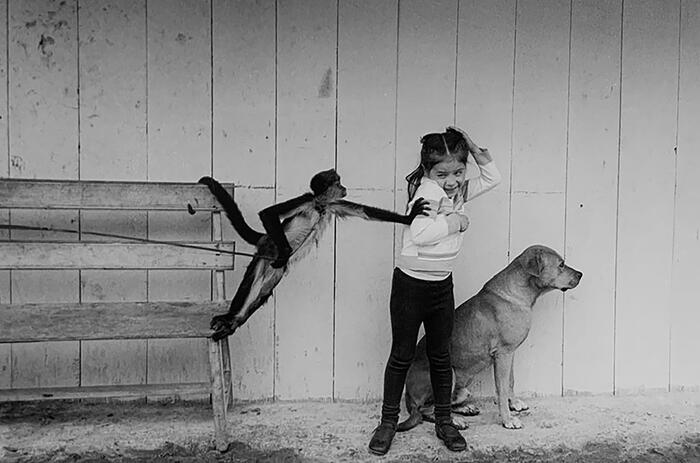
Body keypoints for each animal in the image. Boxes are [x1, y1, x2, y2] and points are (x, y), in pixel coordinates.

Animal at [198, 170, 432, 340]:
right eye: (338, 182)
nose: (344, 187)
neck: (320, 205)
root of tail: (266, 238)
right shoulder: (306, 200)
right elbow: (267, 213)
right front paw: (286, 252)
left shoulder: (332, 205)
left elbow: (365, 212)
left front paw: (409, 218)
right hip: (266, 255)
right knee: (251, 285)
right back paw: (229, 316)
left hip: (276, 273)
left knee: (262, 293)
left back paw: (234, 323)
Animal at [396, 246, 584, 432]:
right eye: (561, 264)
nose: (581, 274)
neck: (520, 292)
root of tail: (409, 398)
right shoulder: (503, 354)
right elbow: (501, 389)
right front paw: (508, 419)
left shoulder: (510, 353)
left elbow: (510, 381)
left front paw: (514, 403)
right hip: (449, 374)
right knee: (428, 410)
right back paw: (455, 421)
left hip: (464, 386)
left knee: (447, 403)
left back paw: (465, 408)